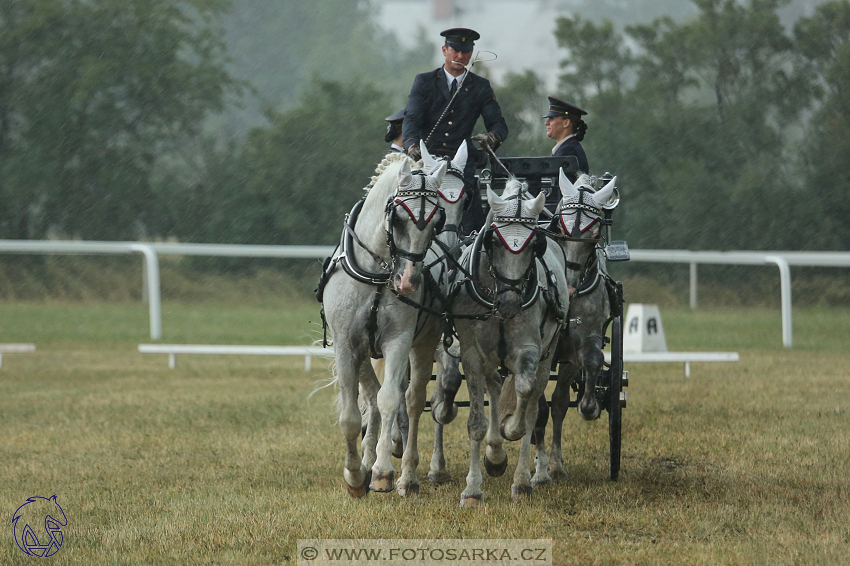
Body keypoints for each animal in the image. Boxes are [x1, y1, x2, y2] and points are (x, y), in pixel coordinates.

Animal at [318, 150, 448, 496]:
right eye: (399, 217)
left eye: (436, 221)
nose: (408, 282)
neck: (377, 272)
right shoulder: (346, 346)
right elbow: (352, 416)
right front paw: (355, 474)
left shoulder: (398, 341)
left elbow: (390, 400)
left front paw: (382, 472)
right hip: (363, 353)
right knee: (371, 398)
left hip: (425, 345)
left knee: (413, 401)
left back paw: (409, 474)